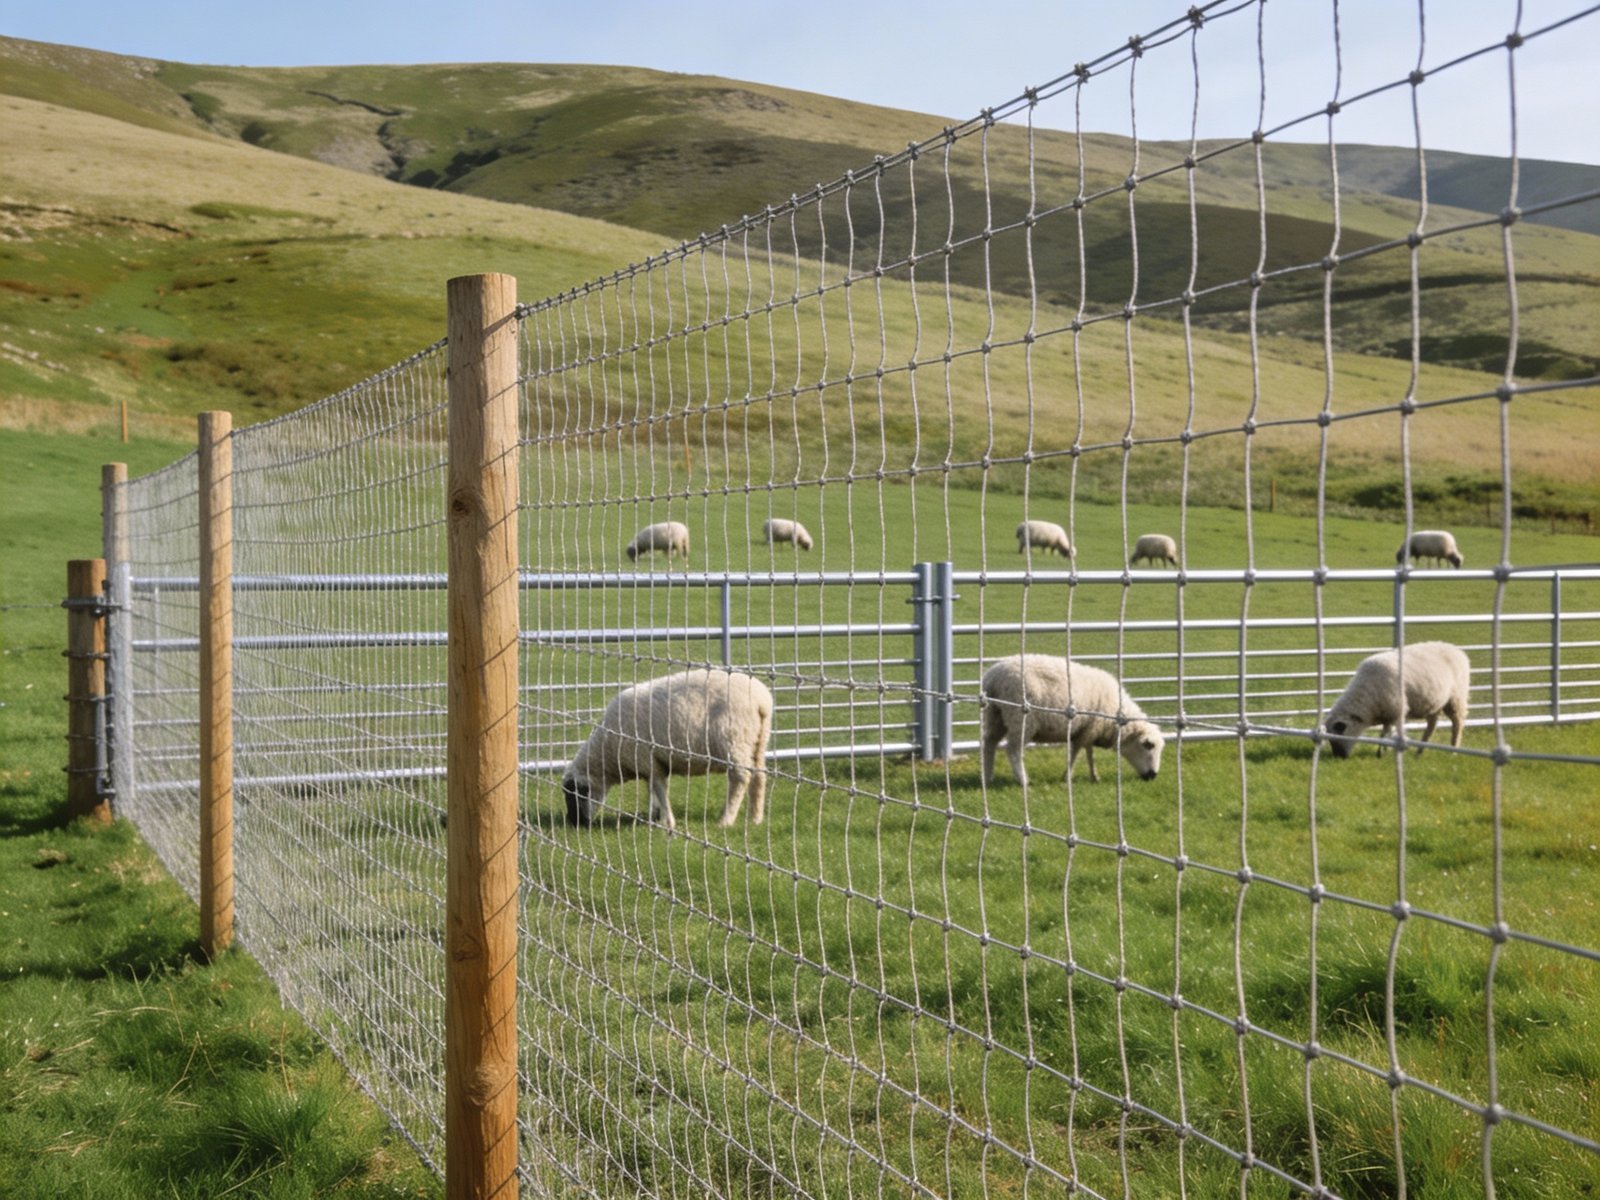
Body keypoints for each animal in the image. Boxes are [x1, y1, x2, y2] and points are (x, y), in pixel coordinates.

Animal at [562, 667, 774, 830]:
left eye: (576, 793)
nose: (575, 824)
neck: (608, 750)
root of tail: (761, 700)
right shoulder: (651, 763)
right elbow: (652, 790)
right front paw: (653, 817)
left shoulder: (647, 759)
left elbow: (660, 789)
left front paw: (666, 822)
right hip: (757, 741)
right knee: (759, 776)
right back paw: (755, 818)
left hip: (733, 739)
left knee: (740, 778)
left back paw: (726, 820)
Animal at [980, 653, 1164, 787]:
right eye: (1148, 745)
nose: (1153, 776)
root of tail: (993, 676)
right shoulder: (1086, 730)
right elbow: (1075, 753)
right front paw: (1067, 777)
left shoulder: (1089, 728)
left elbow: (1089, 753)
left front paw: (1094, 776)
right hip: (1021, 718)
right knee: (1013, 750)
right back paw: (1023, 780)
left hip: (995, 714)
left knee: (989, 743)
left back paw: (987, 777)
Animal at [1322, 641, 1470, 759]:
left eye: (1340, 734)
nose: (1339, 757)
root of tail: (1456, 649)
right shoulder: (1387, 713)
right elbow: (1384, 733)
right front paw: (1381, 752)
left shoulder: (1397, 710)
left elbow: (1390, 733)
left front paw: (1387, 751)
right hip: (1434, 703)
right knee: (1431, 726)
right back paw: (1419, 752)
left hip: (1456, 698)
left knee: (1457, 724)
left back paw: (1453, 751)